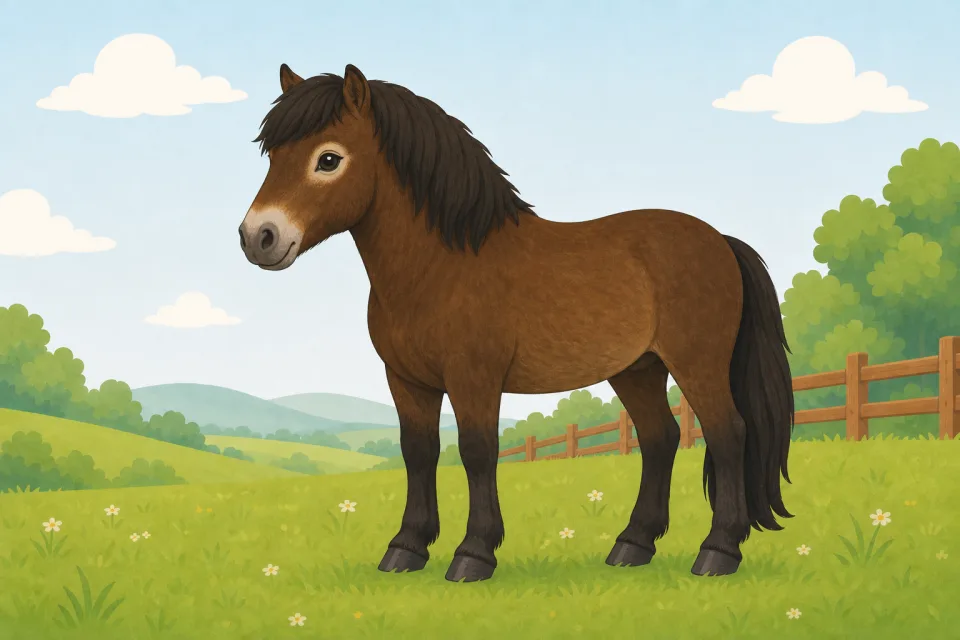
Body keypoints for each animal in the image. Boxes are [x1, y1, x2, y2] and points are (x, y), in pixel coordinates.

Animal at [238, 63, 795, 583]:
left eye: (328, 159)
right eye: (272, 156)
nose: (258, 237)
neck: (442, 266)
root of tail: (720, 241)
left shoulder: (474, 378)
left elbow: (477, 452)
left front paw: (473, 554)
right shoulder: (407, 381)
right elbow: (418, 453)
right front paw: (406, 549)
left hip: (697, 363)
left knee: (728, 435)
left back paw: (717, 552)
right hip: (637, 369)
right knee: (660, 439)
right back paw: (632, 546)